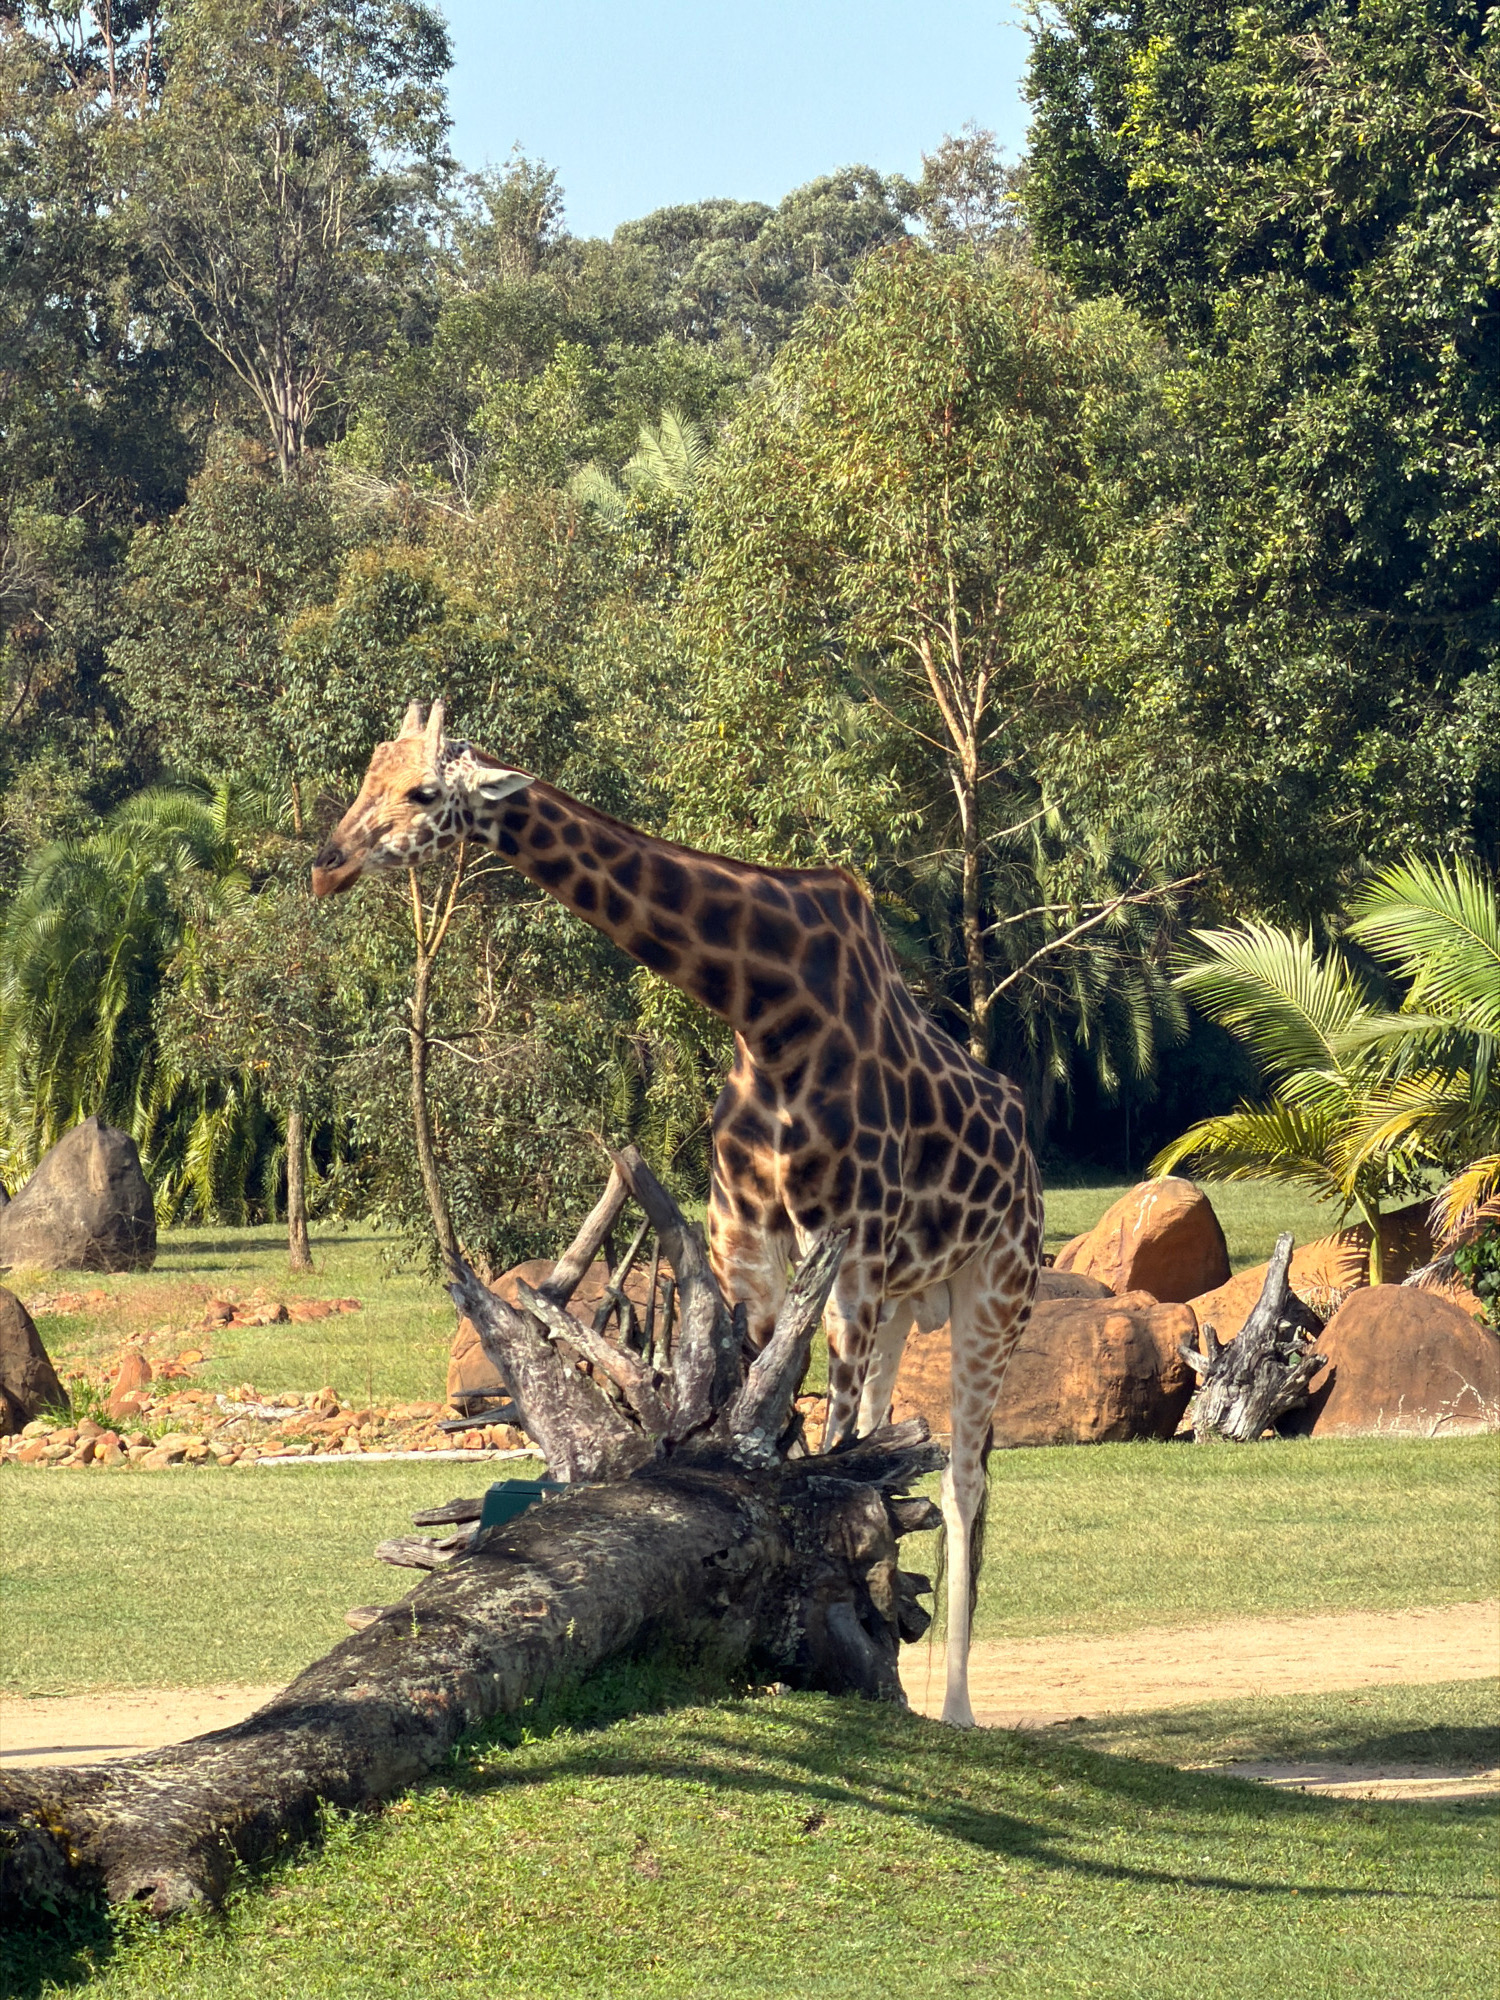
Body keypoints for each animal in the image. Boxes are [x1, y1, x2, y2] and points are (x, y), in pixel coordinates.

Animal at [311, 701, 1042, 1726]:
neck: (770, 1009)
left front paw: (861, 1654)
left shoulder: (849, 1242)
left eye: (420, 792)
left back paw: (959, 1708)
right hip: (906, 1296)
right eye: (366, 774)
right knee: (902, 1436)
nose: (327, 862)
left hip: (996, 1288)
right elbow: (778, 1427)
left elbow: (837, 1441)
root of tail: (1025, 1147)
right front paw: (790, 1626)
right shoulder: (748, 1239)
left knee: (968, 1478)